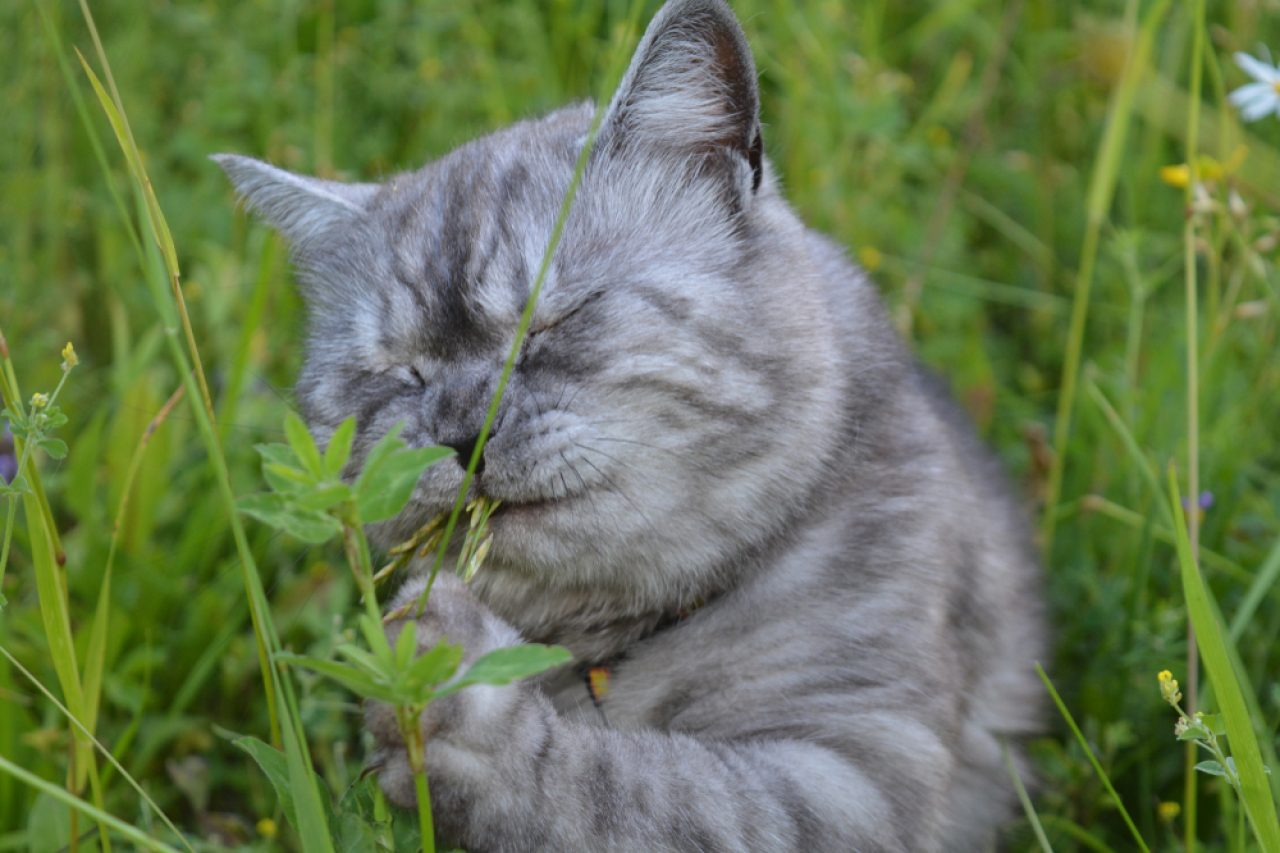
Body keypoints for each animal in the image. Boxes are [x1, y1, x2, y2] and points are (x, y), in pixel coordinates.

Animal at [215, 0, 1044, 845]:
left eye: (552, 321)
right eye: (400, 373)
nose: (462, 434)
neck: (614, 638)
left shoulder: (858, 772)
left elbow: (642, 790)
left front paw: (449, 680)